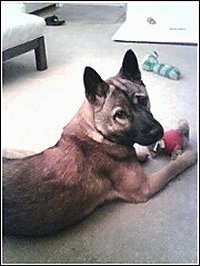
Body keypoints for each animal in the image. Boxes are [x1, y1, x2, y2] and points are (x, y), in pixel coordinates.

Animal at [3, 49, 197, 235]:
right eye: (120, 115)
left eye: (142, 99)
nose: (158, 132)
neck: (97, 132)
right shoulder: (144, 187)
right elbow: (174, 167)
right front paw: (189, 155)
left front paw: (140, 153)